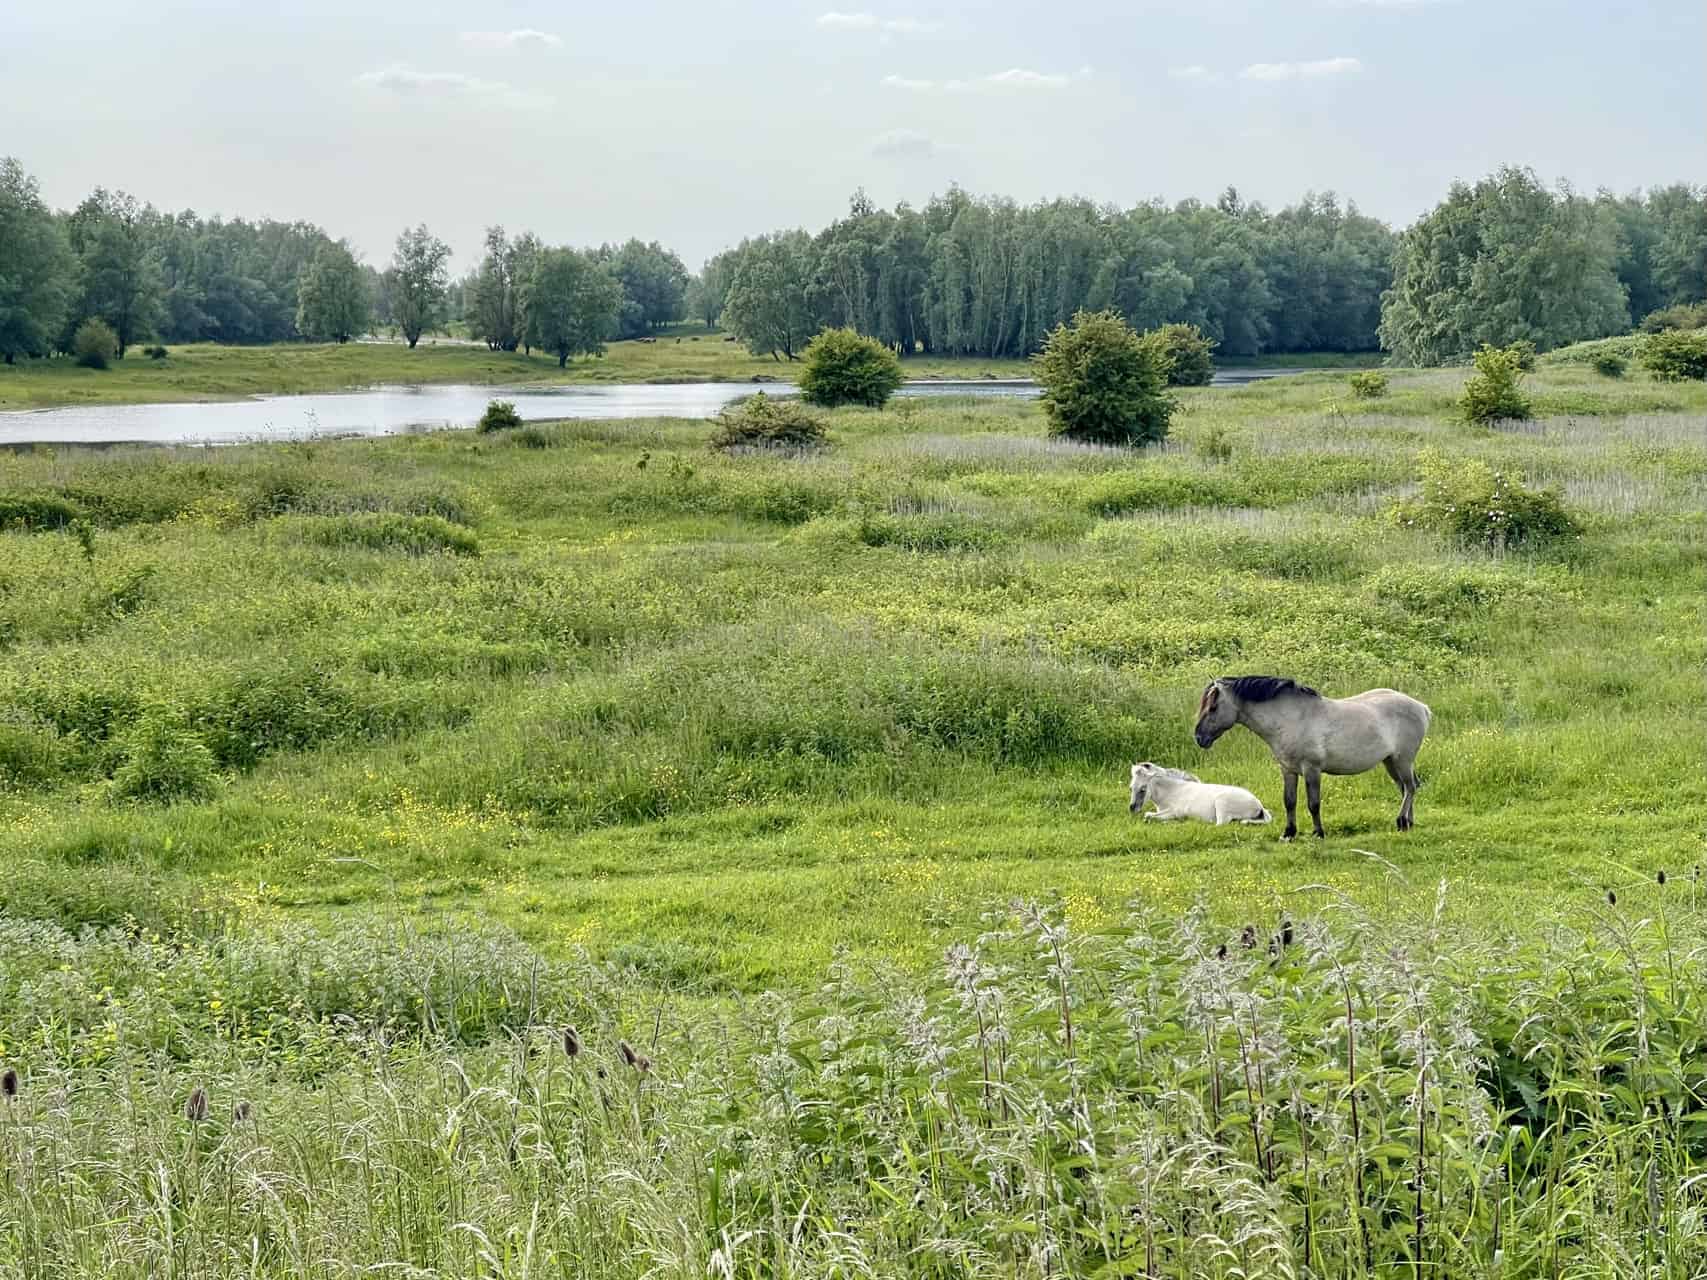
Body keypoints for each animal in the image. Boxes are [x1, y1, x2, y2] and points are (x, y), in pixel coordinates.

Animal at [1129, 762, 1272, 825]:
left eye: (1143, 789)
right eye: (1131, 788)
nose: (1132, 809)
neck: (1173, 791)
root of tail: (1259, 806)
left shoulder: (1176, 812)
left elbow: (1149, 816)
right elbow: (1149, 815)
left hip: (1222, 804)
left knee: (1221, 823)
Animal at [1193, 676, 1430, 839]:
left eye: (1213, 707)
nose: (1199, 737)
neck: (1291, 718)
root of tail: (1422, 707)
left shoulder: (1312, 770)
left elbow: (1313, 803)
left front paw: (1318, 833)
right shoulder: (1288, 769)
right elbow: (1289, 801)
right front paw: (1288, 833)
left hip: (1403, 760)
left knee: (1410, 787)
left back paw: (1401, 821)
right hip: (1390, 761)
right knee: (1406, 788)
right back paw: (1408, 823)